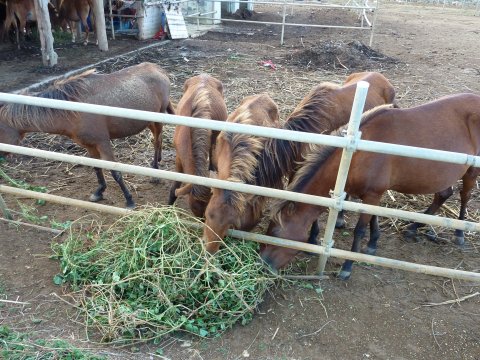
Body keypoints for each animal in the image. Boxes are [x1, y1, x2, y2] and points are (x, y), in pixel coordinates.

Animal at [0, 62, 174, 208]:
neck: (74, 110)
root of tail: (159, 69)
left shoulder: (103, 143)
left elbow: (115, 172)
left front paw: (129, 200)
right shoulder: (89, 145)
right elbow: (96, 167)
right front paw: (99, 192)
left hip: (157, 120)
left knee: (157, 141)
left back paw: (155, 171)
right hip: (148, 122)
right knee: (156, 140)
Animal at [260, 93, 480, 278]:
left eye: (276, 234)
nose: (263, 264)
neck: (356, 154)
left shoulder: (373, 194)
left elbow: (359, 230)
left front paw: (348, 266)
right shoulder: (373, 194)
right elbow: (374, 217)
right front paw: (374, 242)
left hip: (471, 170)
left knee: (465, 195)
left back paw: (459, 233)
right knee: (443, 194)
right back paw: (413, 227)